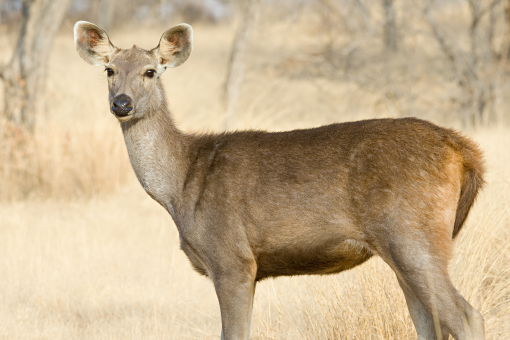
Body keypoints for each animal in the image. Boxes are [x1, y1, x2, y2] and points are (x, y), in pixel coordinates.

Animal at [72, 21, 486, 340]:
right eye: (109, 70)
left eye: (150, 71)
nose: (121, 103)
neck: (182, 185)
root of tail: (463, 150)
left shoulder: (232, 258)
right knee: (430, 323)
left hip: (412, 234)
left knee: (467, 315)